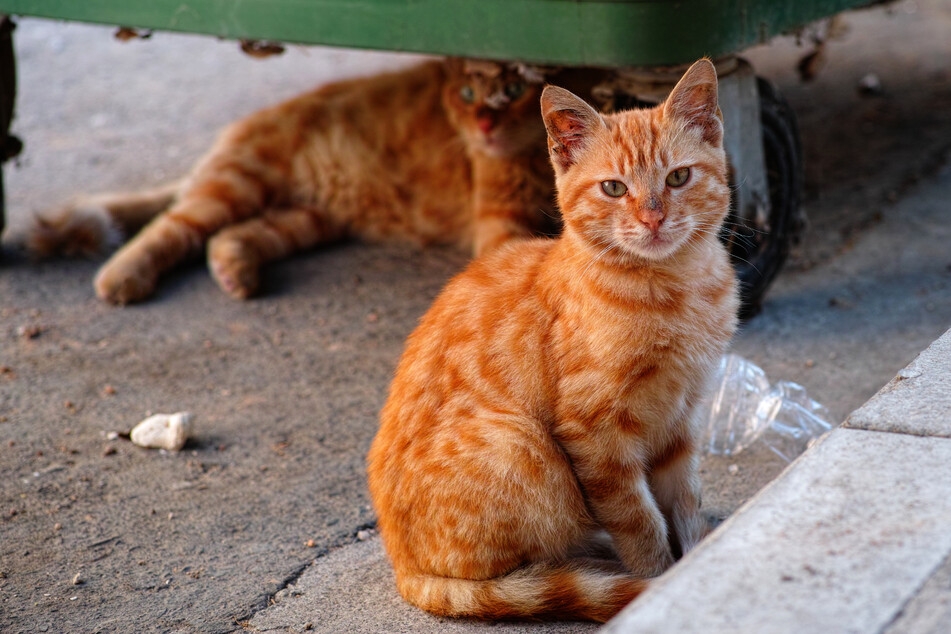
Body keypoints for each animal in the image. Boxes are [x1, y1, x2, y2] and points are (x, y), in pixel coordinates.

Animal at [31, 59, 596, 304]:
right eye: (467, 93)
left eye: (514, 90)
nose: (484, 125)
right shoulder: (500, 223)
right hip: (238, 182)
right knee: (173, 225)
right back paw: (121, 276)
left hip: (307, 216)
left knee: (228, 236)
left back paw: (235, 271)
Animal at [364, 56, 736, 620]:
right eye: (613, 188)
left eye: (678, 177)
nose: (653, 217)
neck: (677, 288)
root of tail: (401, 565)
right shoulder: (594, 433)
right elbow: (640, 520)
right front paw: (657, 581)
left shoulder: (683, 416)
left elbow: (686, 505)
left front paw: (694, 561)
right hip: (522, 446)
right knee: (520, 567)